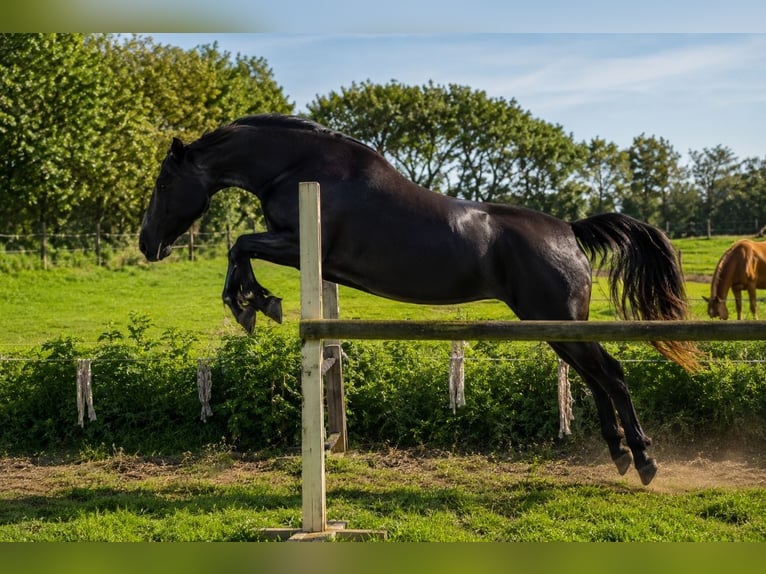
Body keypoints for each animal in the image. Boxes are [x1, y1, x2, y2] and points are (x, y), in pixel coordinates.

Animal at [139, 113, 700, 485]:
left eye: (165, 182)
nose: (148, 244)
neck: (296, 166)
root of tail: (568, 230)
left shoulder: (299, 245)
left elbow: (240, 245)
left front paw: (252, 304)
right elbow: (241, 247)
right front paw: (254, 303)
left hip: (556, 319)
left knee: (612, 373)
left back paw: (644, 459)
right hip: (555, 328)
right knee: (596, 377)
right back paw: (620, 455)